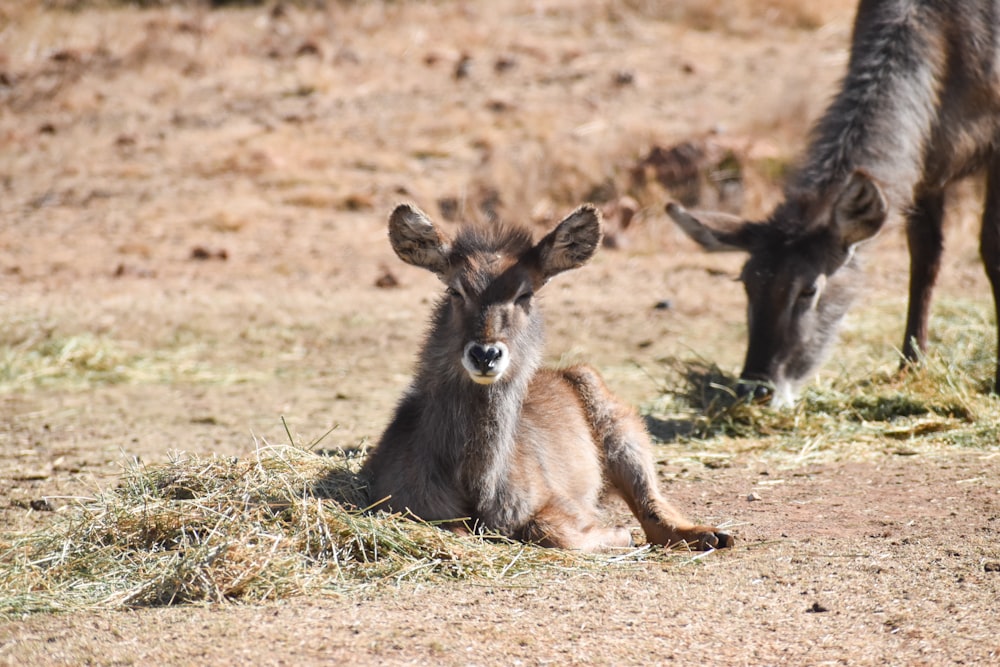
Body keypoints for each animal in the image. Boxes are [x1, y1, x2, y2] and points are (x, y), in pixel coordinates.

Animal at [364, 204, 732, 552]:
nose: (485, 354)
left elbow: (547, 529)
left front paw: (618, 533)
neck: (475, 483)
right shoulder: (405, 505)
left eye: (524, 294)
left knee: (652, 509)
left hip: (621, 428)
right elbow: (455, 530)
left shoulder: (557, 501)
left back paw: (710, 534)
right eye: (456, 290)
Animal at [668, 0, 1000, 408]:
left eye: (809, 290)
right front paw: (910, 365)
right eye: (746, 282)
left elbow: (991, 251)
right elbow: (925, 257)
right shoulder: (925, 161)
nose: (755, 390)